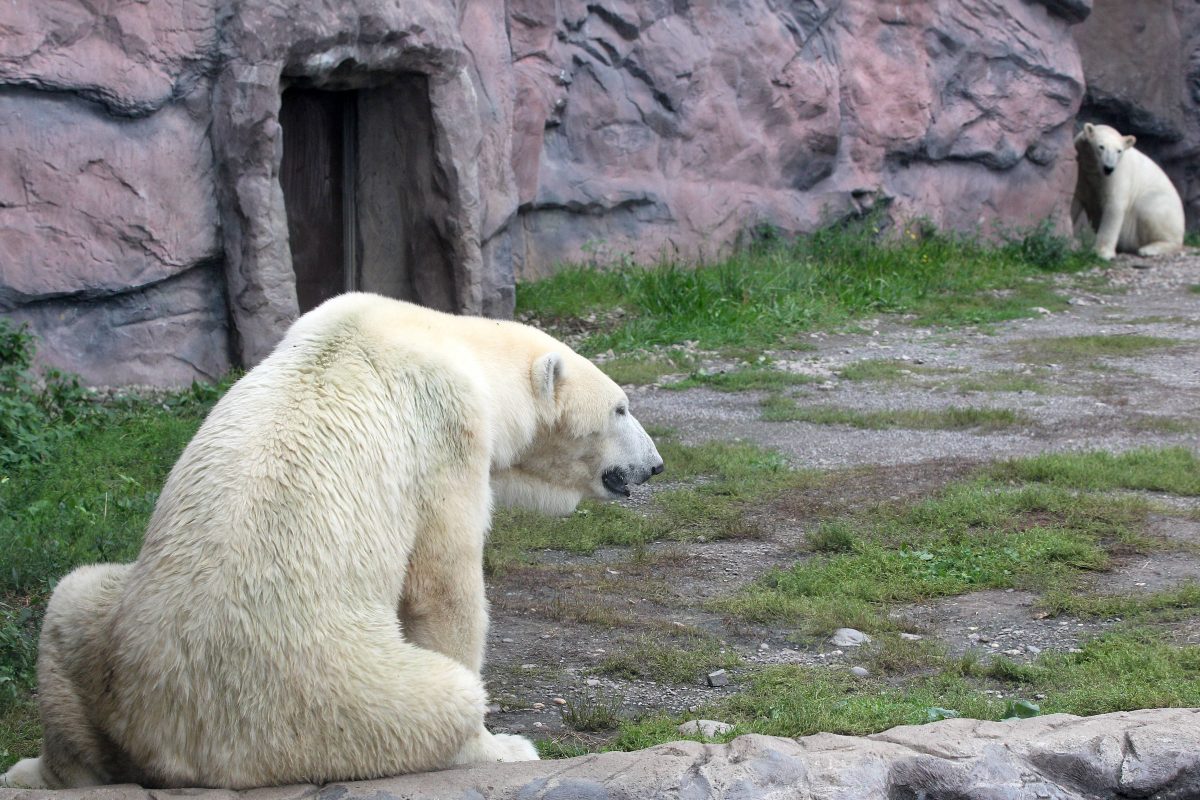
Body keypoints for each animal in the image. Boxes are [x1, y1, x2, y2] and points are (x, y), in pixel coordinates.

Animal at [0, 292, 662, 786]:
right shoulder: (446, 431)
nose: (654, 466)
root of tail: (172, 735)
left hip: (116, 637)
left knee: (73, 596)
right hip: (321, 702)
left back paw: (41, 769)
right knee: (438, 699)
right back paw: (491, 745)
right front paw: (501, 743)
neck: (443, 338)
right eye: (622, 408)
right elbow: (442, 582)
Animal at [1075, 122, 1185, 261]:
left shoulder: (1118, 174)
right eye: (1101, 147)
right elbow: (1075, 200)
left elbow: (1114, 206)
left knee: (1149, 210)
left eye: (1119, 151)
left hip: (1162, 207)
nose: (1108, 168)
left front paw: (1101, 253)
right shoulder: (1083, 171)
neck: (1095, 170)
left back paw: (1148, 249)